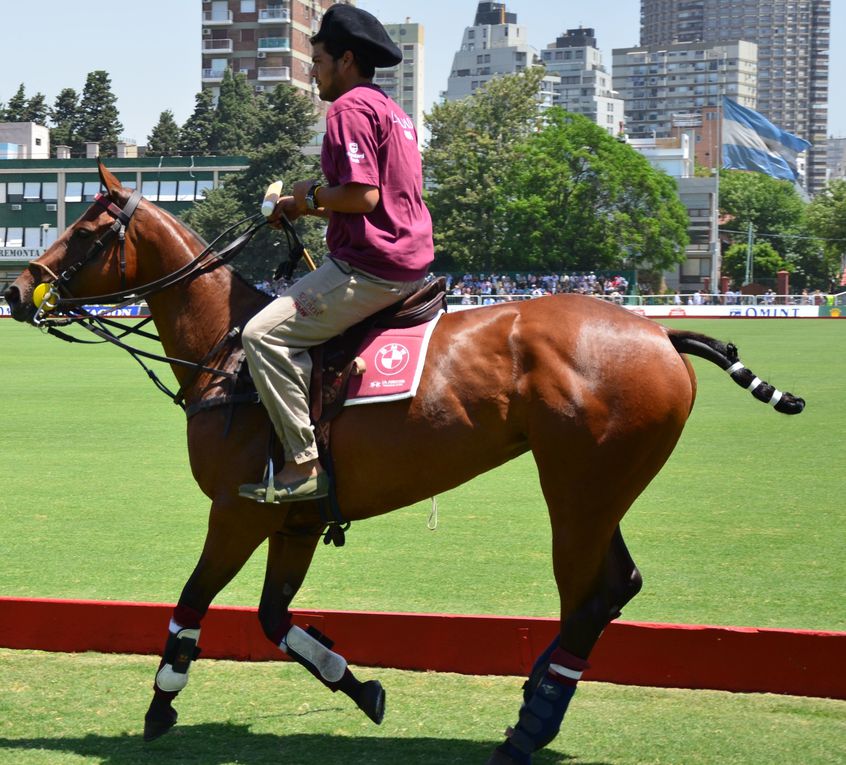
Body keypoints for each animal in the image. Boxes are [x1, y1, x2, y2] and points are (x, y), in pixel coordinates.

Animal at [3, 164, 804, 760]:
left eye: (87, 228)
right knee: (615, 587)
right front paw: (362, 687)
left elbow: (192, 603)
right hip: (600, 488)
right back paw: (533, 702)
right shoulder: (296, 519)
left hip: (580, 488)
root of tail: (664, 334)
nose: (16, 289)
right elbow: (274, 618)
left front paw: (160, 705)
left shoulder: (236, 510)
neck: (226, 351)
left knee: (593, 591)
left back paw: (529, 727)